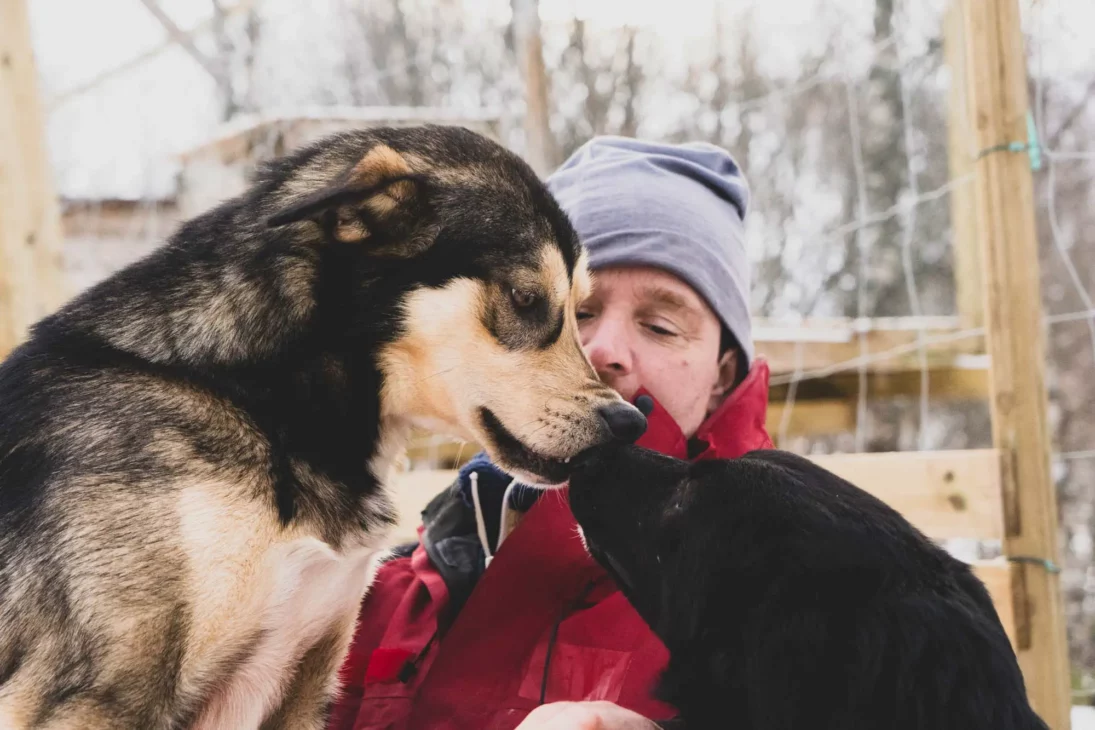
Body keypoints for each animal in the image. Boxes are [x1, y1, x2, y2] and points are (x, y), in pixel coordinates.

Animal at [0, 126, 639, 730]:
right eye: (526, 297)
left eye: (581, 309)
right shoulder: (92, 699)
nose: (626, 422)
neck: (263, 404)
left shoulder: (304, 683)